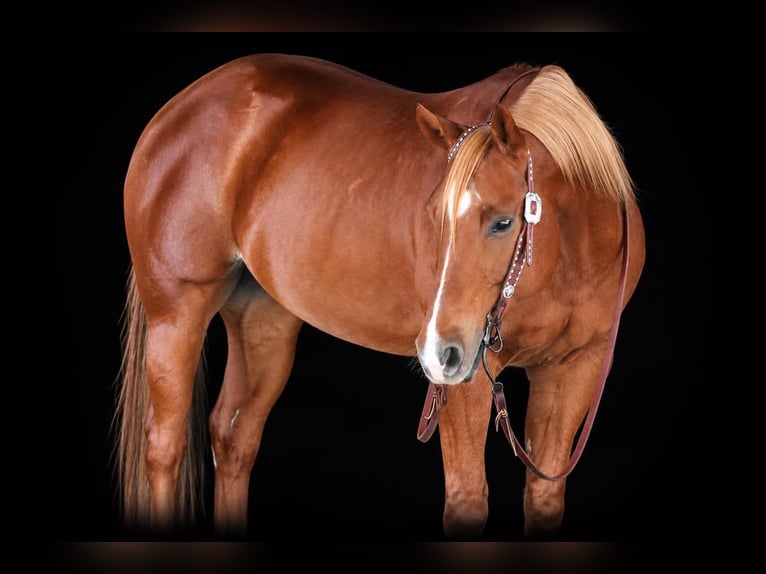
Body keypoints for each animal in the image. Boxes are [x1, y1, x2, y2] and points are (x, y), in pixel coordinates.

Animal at [115, 53, 646, 539]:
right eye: (433, 216)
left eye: (503, 221)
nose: (437, 353)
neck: (567, 256)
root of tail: (177, 109)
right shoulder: (469, 378)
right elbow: (468, 498)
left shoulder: (574, 368)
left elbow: (544, 497)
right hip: (177, 314)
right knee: (163, 447)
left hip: (264, 321)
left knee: (233, 436)